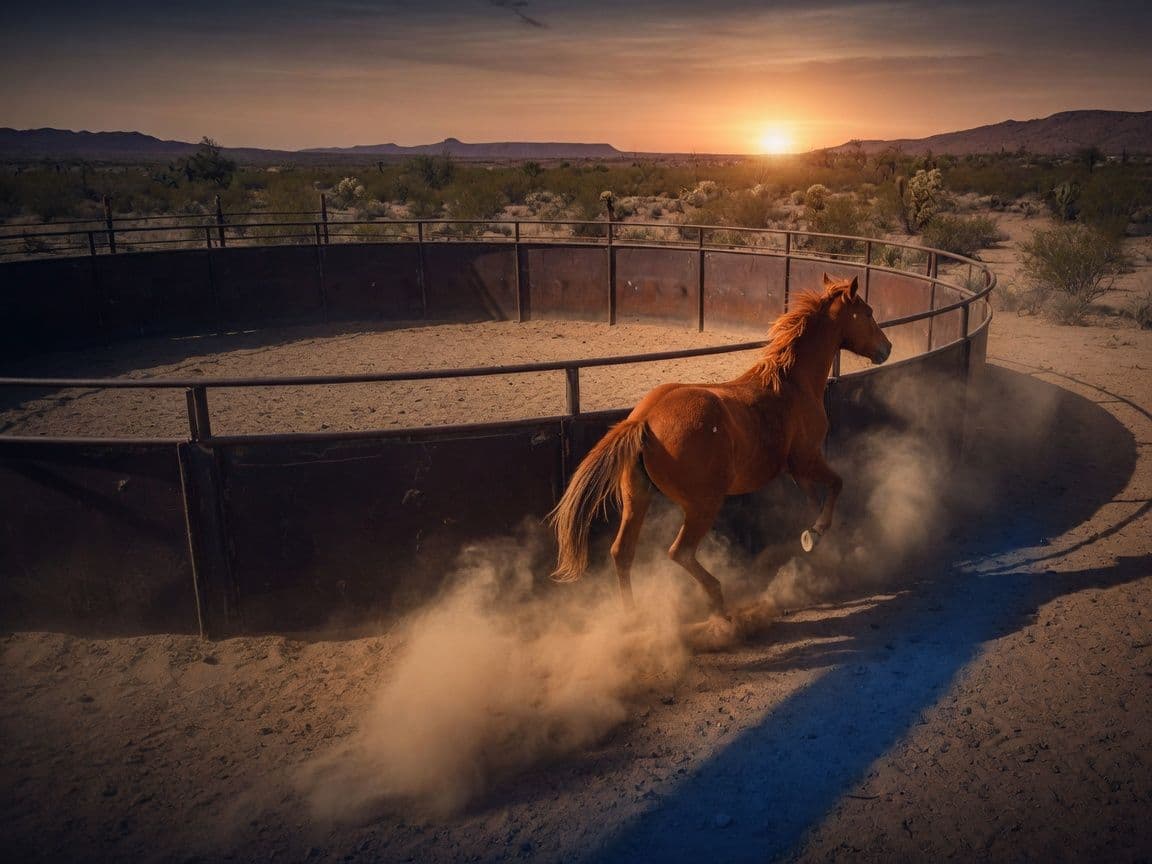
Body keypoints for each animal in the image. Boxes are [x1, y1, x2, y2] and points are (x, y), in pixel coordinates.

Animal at [548, 273, 892, 617]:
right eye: (869, 312)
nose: (887, 348)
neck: (794, 383)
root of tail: (644, 419)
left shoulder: (796, 469)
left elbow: (813, 500)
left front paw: (811, 537)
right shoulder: (808, 458)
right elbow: (836, 485)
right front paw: (818, 531)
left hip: (637, 498)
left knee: (622, 553)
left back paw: (632, 616)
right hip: (703, 505)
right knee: (679, 552)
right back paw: (718, 601)